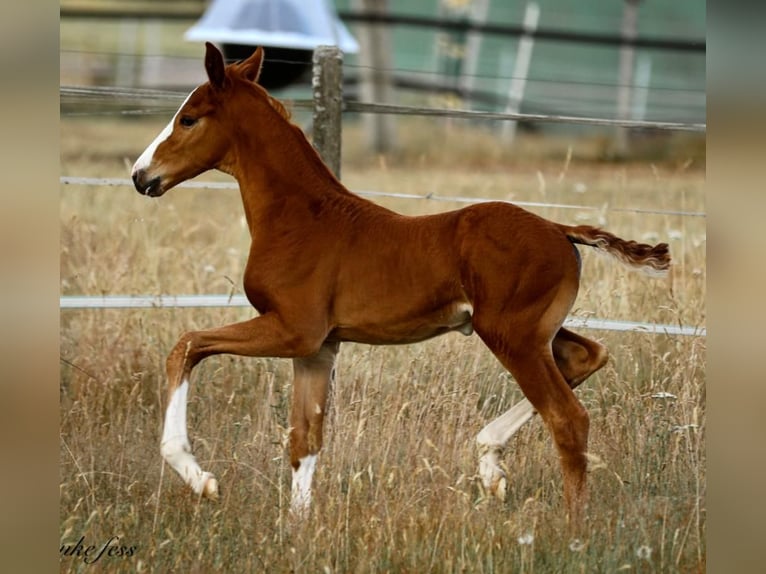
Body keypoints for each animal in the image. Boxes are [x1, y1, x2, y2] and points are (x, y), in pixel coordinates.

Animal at [132, 44, 672, 528]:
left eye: (188, 119)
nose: (140, 176)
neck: (301, 218)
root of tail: (561, 230)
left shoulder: (293, 329)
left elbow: (187, 346)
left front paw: (200, 478)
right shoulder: (319, 347)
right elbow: (305, 438)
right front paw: (297, 529)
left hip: (512, 336)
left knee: (568, 418)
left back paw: (571, 529)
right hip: (534, 331)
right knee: (588, 355)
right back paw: (490, 464)